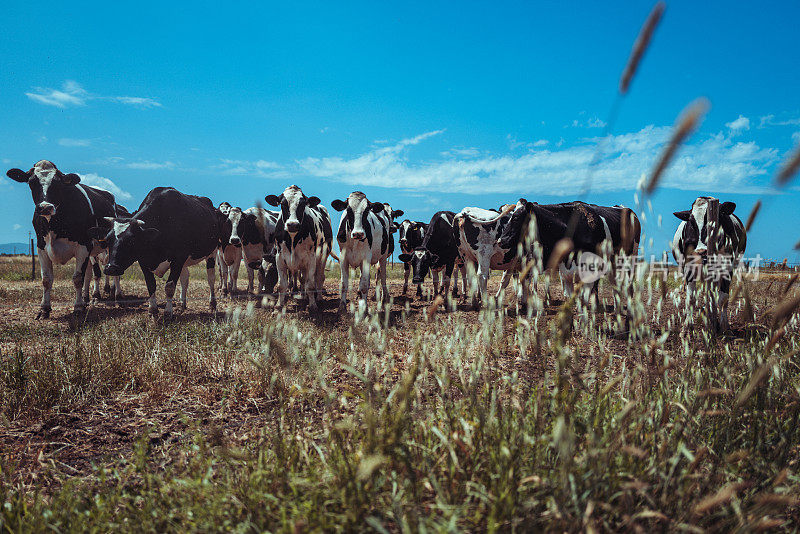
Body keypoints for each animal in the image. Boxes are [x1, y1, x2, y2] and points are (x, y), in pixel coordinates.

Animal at [7, 159, 126, 318]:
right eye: (31, 182)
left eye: (58, 183)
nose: (45, 207)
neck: (54, 225)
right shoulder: (41, 247)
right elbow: (46, 279)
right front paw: (44, 308)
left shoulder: (83, 246)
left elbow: (77, 278)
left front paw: (78, 307)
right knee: (90, 273)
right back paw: (88, 298)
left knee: (113, 272)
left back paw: (117, 297)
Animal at [90, 187, 222, 316]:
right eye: (108, 239)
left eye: (132, 240)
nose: (111, 268)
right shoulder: (144, 260)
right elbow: (151, 284)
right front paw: (152, 309)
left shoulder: (178, 259)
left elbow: (169, 286)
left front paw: (168, 312)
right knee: (185, 278)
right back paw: (182, 305)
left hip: (212, 252)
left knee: (211, 278)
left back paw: (212, 304)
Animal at [266, 185, 334, 314]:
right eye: (283, 204)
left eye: (302, 204)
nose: (292, 224)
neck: (293, 240)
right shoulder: (280, 257)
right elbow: (282, 285)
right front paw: (278, 307)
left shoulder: (311, 258)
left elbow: (311, 285)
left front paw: (313, 306)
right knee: (303, 279)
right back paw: (303, 296)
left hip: (322, 256)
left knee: (319, 277)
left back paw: (318, 298)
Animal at [672, 197, 748, 336]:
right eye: (691, 222)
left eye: (714, 221)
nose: (701, 251)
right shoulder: (689, 268)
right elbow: (690, 299)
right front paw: (686, 328)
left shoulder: (727, 270)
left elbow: (723, 299)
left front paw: (724, 326)